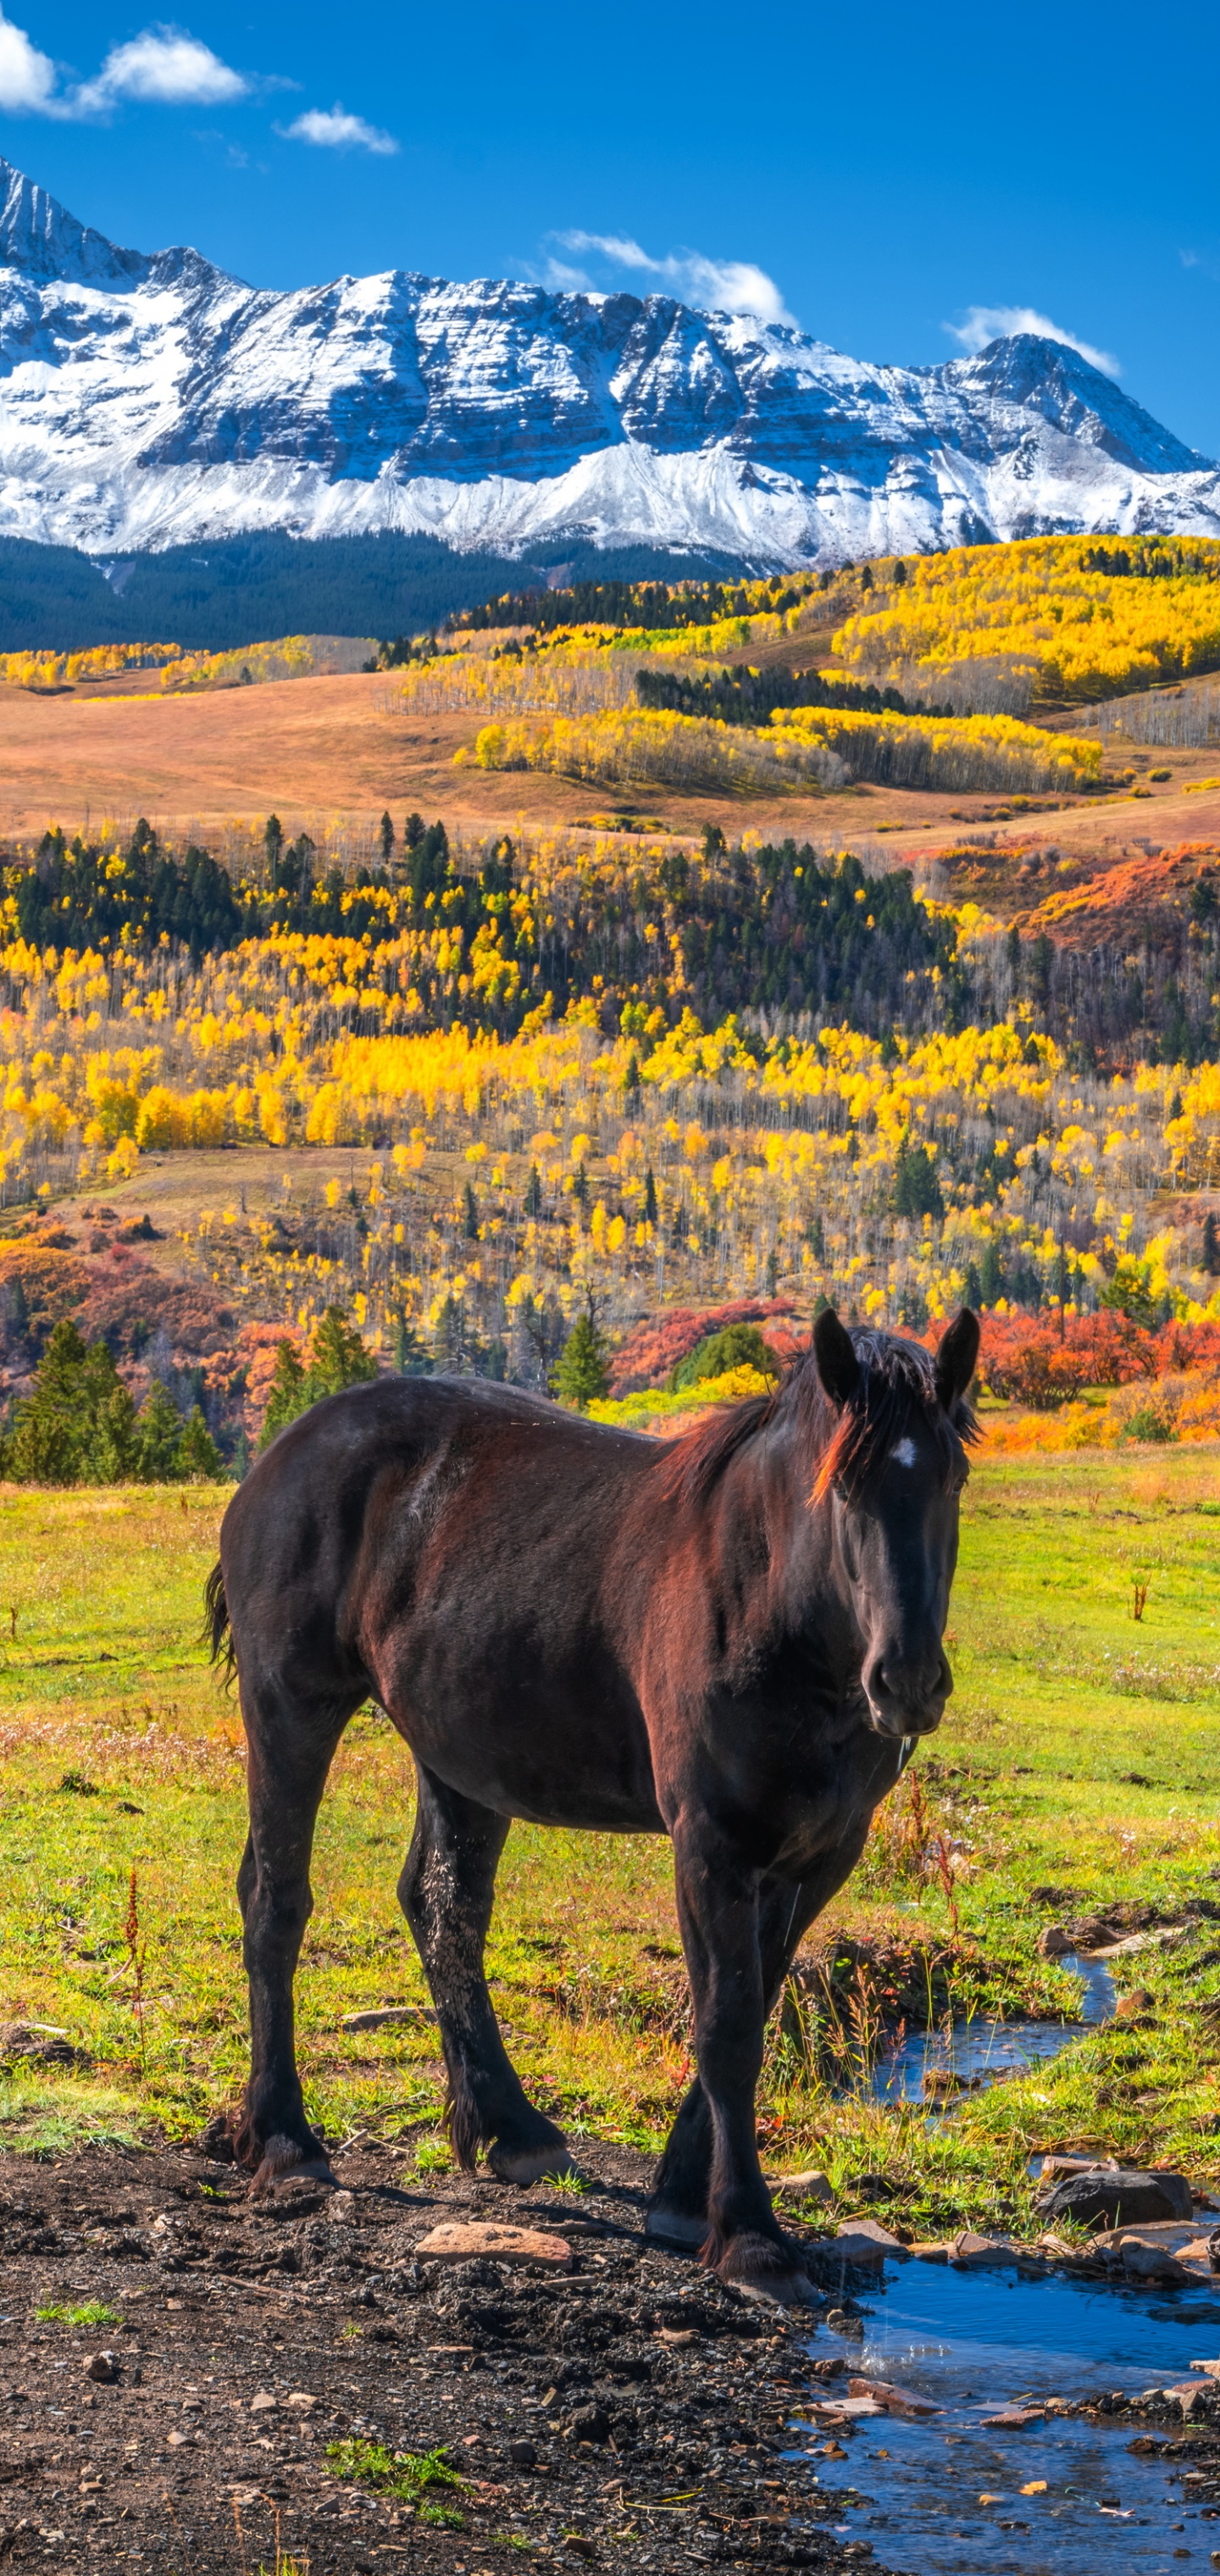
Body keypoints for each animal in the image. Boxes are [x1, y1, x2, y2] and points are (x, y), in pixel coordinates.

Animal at [206, 1304, 979, 2304]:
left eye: (953, 1477)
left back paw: (510, 2128)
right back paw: (285, 2140)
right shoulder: (711, 1844)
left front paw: (683, 2195)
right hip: (290, 1710)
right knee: (276, 1902)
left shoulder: (821, 1854)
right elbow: (727, 2025)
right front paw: (750, 2236)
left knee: (444, 1911)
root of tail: (281, 1456)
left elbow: (760, 2001)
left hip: (460, 1753)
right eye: (843, 1485)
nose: (908, 1682)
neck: (772, 1603)